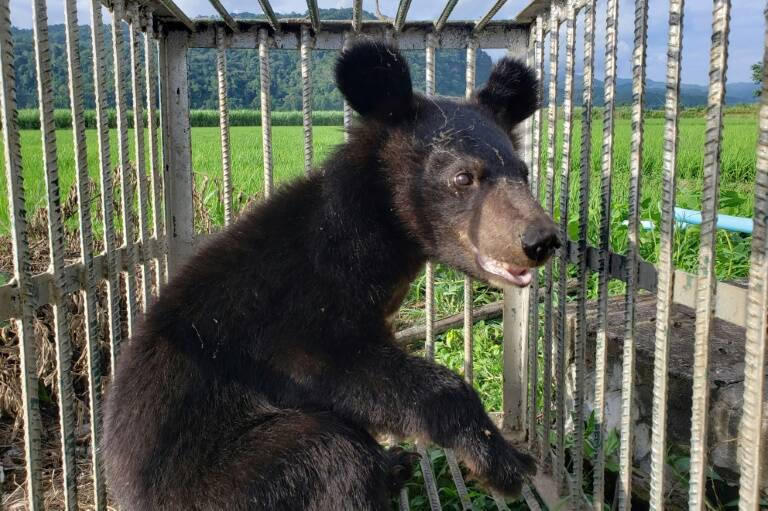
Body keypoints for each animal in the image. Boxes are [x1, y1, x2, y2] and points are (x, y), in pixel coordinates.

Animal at [103, 41, 560, 511]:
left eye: (523, 172)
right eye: (463, 177)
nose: (542, 240)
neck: (375, 233)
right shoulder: (294, 315)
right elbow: (348, 370)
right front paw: (505, 462)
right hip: (224, 480)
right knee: (331, 455)